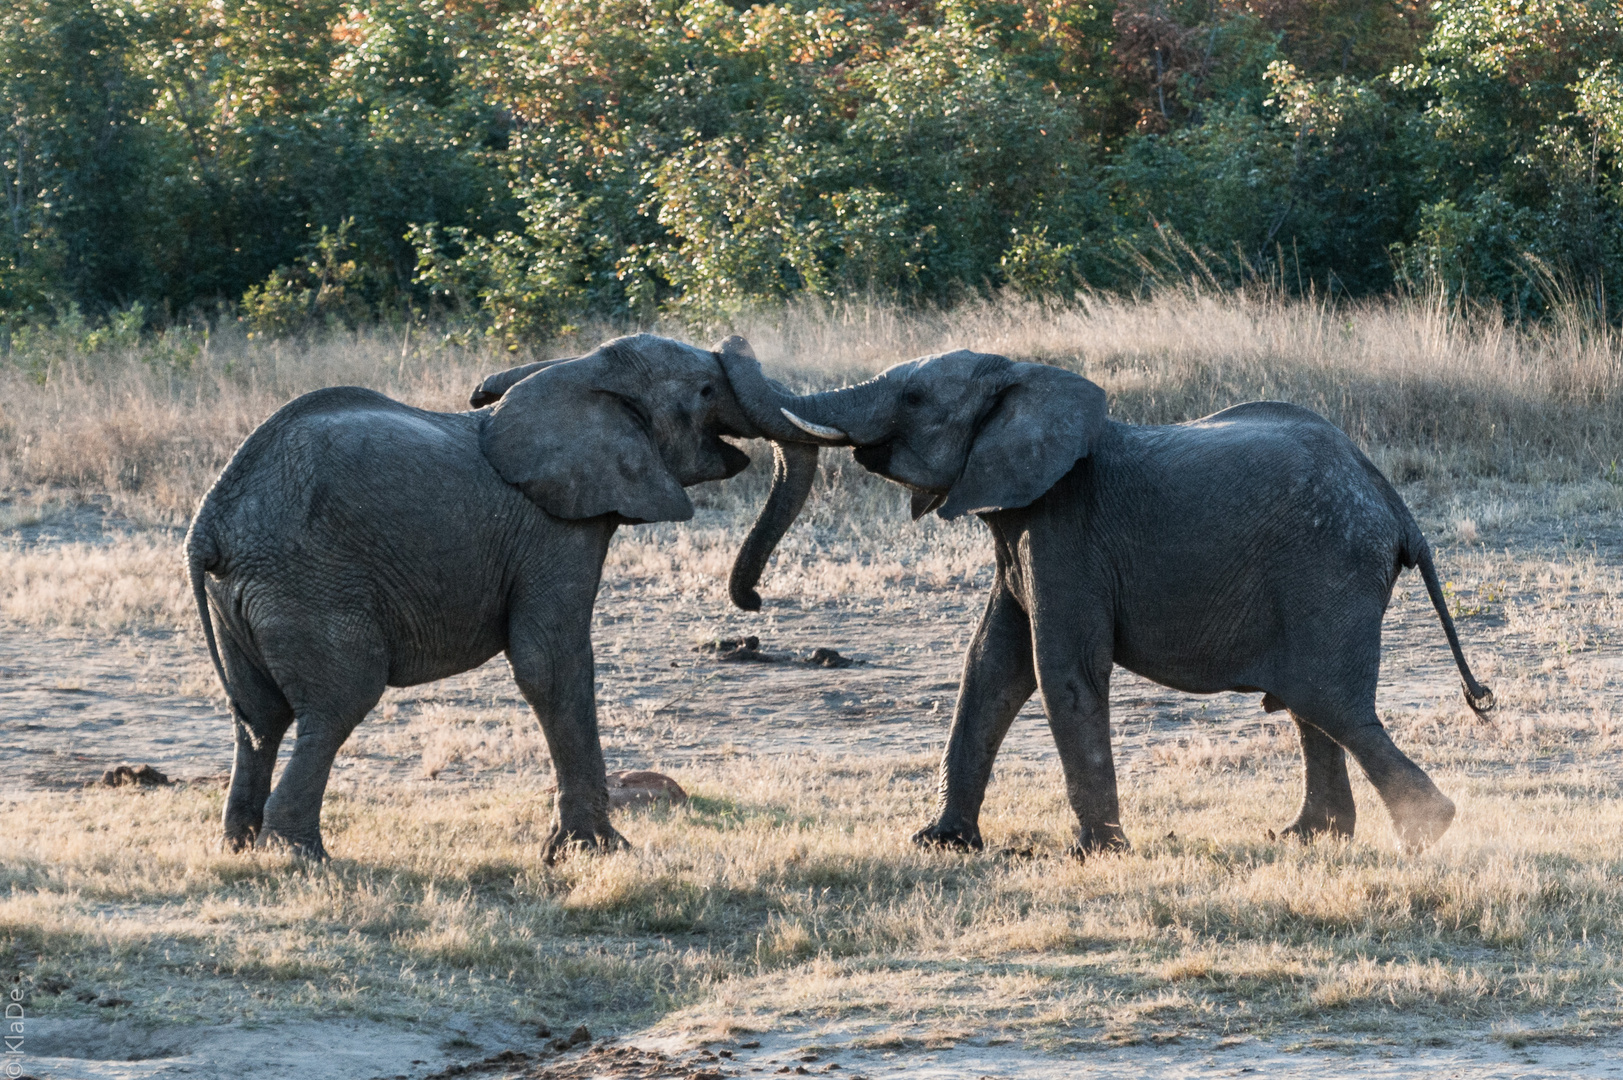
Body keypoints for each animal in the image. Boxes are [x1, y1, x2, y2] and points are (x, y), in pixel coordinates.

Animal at [189, 332, 817, 864]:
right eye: (706, 391)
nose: (753, 601)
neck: (585, 371)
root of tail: (209, 527)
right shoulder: (554, 528)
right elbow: (551, 663)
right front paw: (595, 853)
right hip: (310, 585)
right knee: (337, 703)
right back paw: (300, 859)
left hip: (245, 600)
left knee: (259, 717)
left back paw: (240, 849)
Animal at [723, 345, 1493, 857]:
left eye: (912, 400)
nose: (753, 602)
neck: (1026, 379)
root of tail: (1394, 504)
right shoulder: (1022, 528)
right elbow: (989, 667)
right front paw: (940, 843)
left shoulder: (1067, 531)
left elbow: (1059, 669)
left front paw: (1095, 852)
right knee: (1311, 704)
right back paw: (1306, 837)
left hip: (1329, 572)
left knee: (1328, 699)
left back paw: (1428, 831)